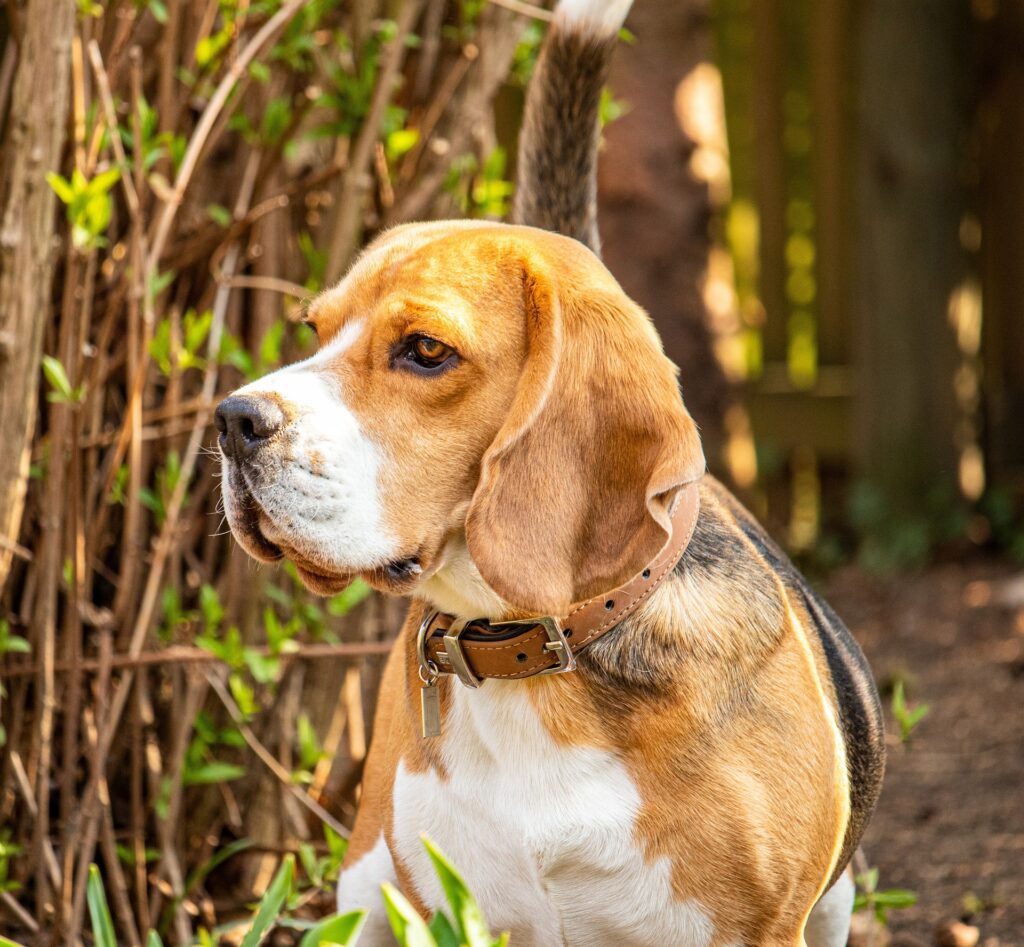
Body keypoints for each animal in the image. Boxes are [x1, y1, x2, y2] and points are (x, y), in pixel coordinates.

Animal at [218, 3, 888, 941]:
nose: (232, 421)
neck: (537, 659)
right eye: (315, 330)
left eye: (426, 350)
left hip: (834, 904)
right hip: (366, 886)